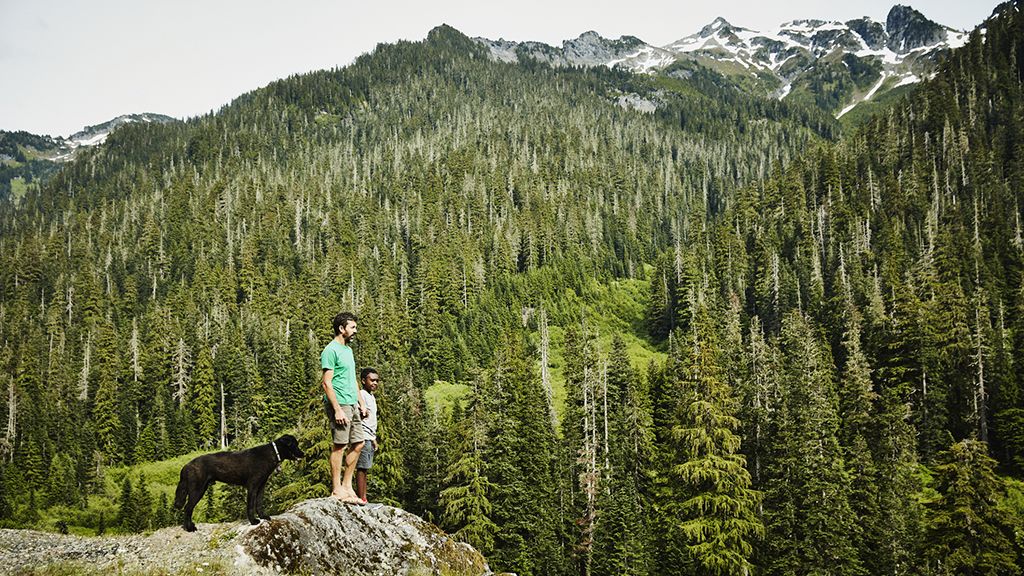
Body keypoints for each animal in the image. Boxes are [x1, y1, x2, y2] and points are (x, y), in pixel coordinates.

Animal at [173, 434, 303, 528]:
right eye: (295, 445)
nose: (303, 453)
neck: (272, 453)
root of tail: (186, 466)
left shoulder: (261, 486)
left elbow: (259, 504)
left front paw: (263, 516)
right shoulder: (252, 486)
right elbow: (250, 506)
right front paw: (253, 521)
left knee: (188, 509)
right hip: (197, 490)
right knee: (187, 508)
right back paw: (189, 528)